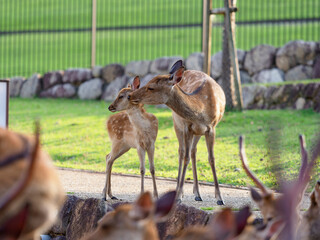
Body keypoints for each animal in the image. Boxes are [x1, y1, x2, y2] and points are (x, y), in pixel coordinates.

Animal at [129, 60, 226, 204]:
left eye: (151, 87)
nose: (130, 95)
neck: (201, 109)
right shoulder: (186, 127)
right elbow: (185, 157)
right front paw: (179, 196)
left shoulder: (211, 128)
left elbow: (212, 159)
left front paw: (219, 198)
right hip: (176, 123)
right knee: (182, 151)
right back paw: (181, 192)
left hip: (197, 132)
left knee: (193, 151)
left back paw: (197, 194)